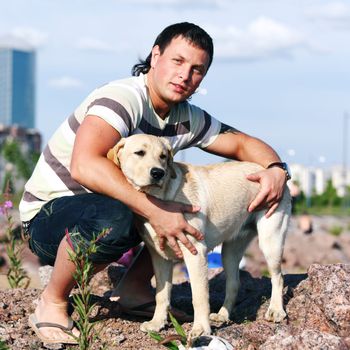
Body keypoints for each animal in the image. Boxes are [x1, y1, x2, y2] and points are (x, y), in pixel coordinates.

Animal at [108, 133, 292, 336]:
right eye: (139, 152)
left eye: (163, 156)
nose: (158, 173)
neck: (159, 199)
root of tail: (272, 173)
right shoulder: (160, 257)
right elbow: (161, 294)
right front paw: (157, 323)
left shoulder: (195, 252)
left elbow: (199, 296)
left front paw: (201, 329)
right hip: (230, 250)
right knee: (234, 283)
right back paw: (223, 315)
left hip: (271, 240)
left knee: (278, 277)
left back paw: (276, 310)